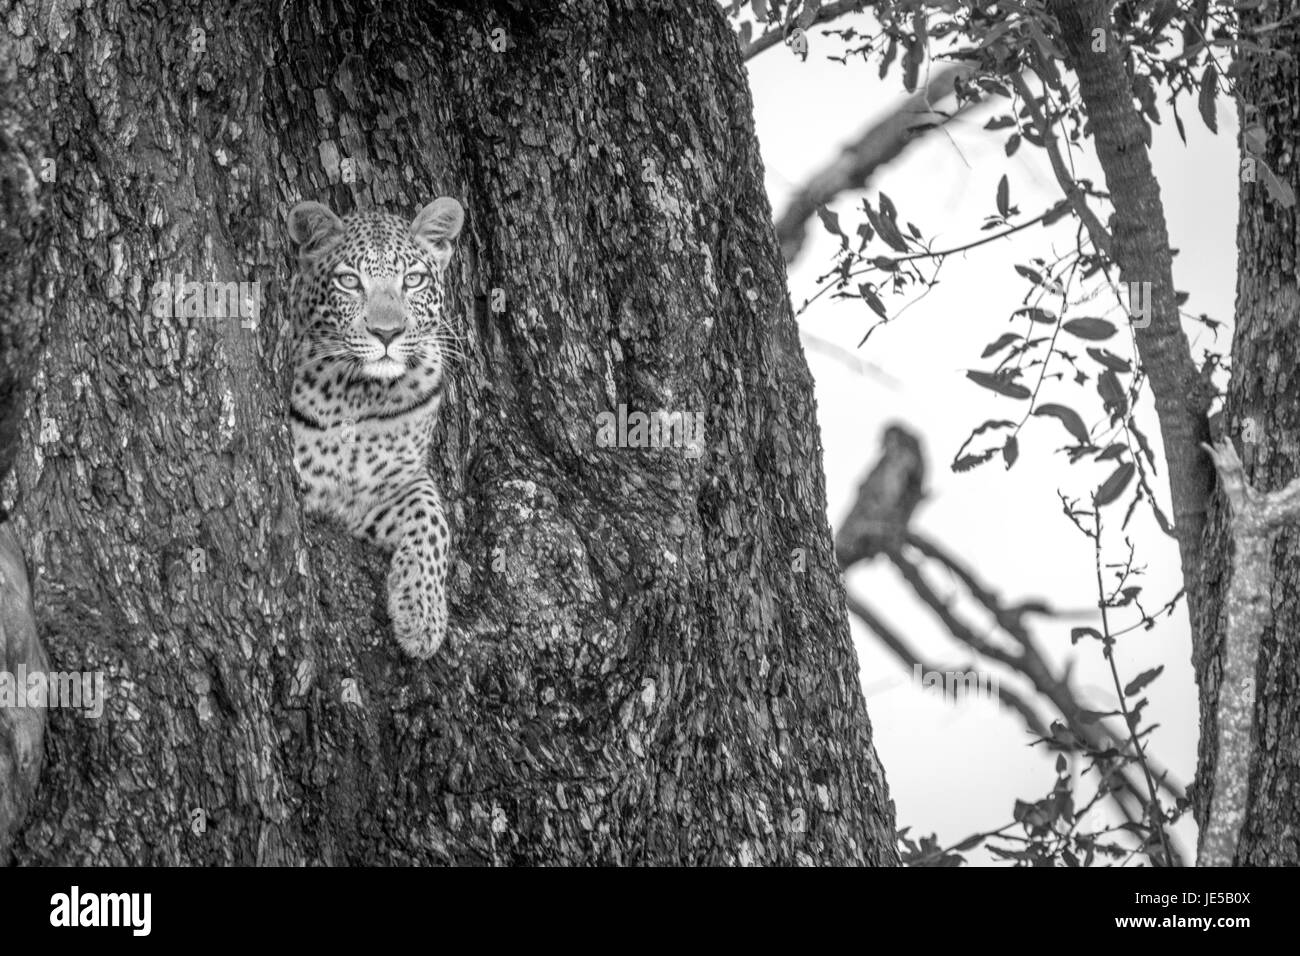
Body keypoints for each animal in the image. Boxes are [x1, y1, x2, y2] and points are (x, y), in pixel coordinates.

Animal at [286, 197, 464, 659]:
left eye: (414, 280)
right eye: (350, 281)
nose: (387, 333)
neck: (361, 393)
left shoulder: (387, 488)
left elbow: (434, 520)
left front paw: (422, 616)